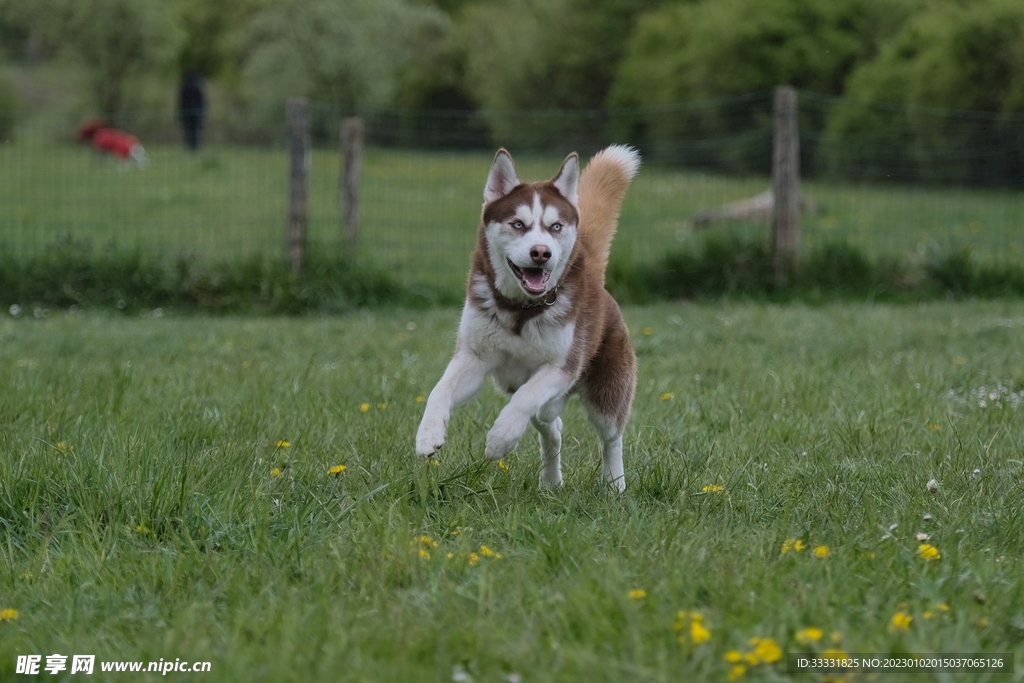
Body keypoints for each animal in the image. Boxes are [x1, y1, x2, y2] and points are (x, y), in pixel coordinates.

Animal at [415, 144, 638, 491]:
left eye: (555, 226)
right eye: (518, 224)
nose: (541, 252)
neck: (522, 309)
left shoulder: (560, 367)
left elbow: (523, 399)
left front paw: (499, 440)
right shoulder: (473, 359)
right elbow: (440, 391)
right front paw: (428, 435)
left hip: (606, 391)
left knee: (611, 437)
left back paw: (614, 485)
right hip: (543, 405)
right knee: (552, 426)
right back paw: (550, 482)